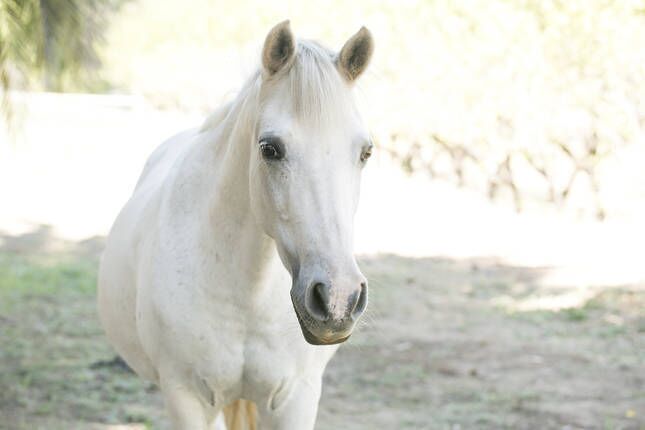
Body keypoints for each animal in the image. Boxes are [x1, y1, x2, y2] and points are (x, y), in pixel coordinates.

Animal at [98, 21, 374, 430]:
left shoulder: (295, 398)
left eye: (365, 152)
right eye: (269, 148)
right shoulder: (187, 398)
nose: (339, 299)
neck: (247, 295)